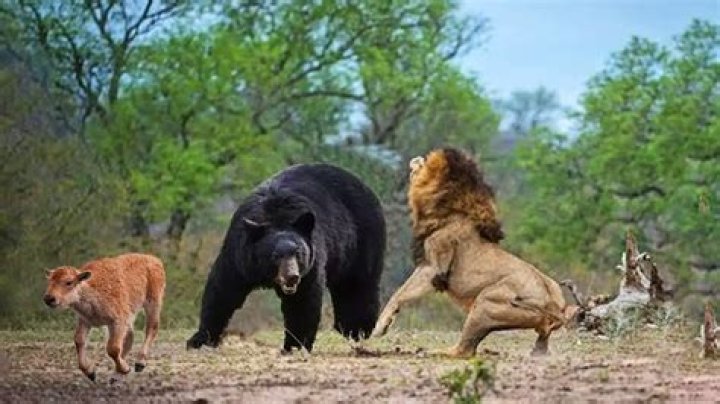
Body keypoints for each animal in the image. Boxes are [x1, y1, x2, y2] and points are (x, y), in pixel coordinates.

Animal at [186, 163, 386, 352]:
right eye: (275, 256)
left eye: (298, 253)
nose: (292, 277)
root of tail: (363, 184)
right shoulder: (238, 255)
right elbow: (223, 290)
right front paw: (199, 339)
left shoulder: (311, 263)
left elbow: (302, 301)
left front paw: (294, 345)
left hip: (361, 239)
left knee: (357, 284)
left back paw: (356, 329)